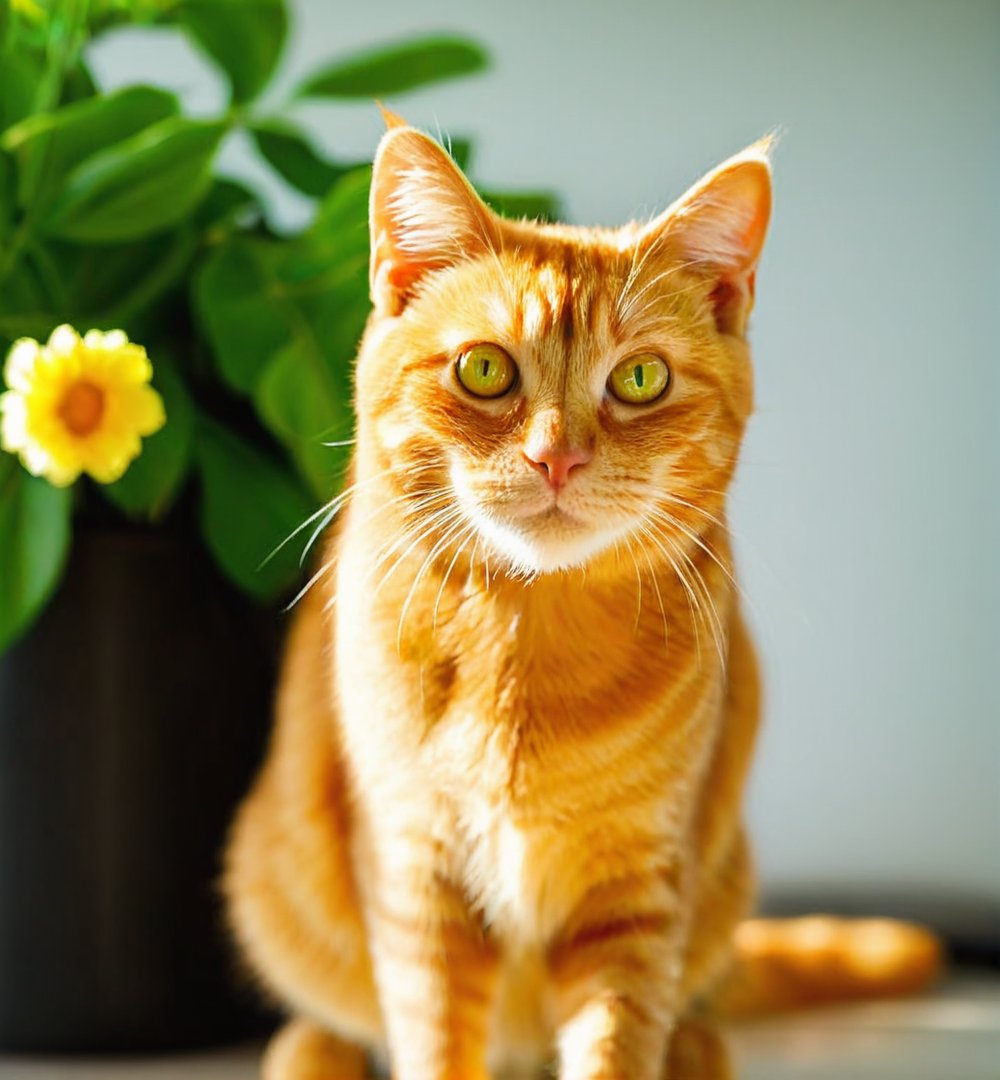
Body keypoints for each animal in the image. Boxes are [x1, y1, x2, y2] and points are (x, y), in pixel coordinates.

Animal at [223, 118, 941, 1080]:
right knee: (321, 1028)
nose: (555, 458)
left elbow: (615, 1041)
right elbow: (433, 1037)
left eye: (639, 380)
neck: (526, 642)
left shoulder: (635, 894)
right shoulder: (420, 877)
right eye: (484, 369)